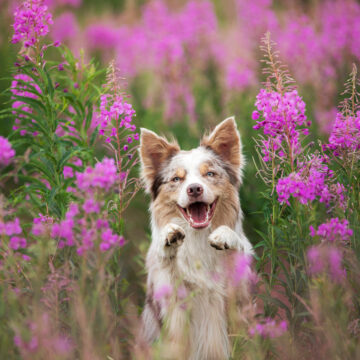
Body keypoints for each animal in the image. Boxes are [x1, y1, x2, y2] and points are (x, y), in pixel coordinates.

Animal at [138, 116, 253, 358]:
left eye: (209, 174)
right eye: (176, 179)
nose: (194, 189)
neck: (199, 238)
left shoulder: (239, 299)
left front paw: (226, 237)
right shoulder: (173, 306)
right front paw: (168, 238)